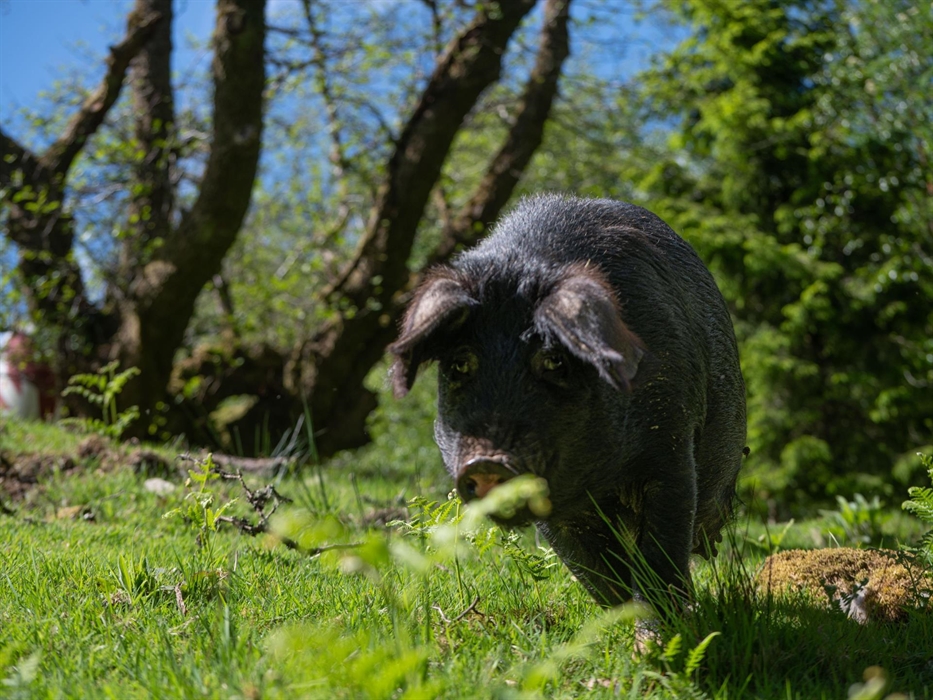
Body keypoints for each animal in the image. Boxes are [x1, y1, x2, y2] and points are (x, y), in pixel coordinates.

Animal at [389, 194, 746, 610]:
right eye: (460, 363)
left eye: (553, 360)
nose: (488, 461)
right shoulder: (559, 513)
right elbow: (598, 572)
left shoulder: (671, 446)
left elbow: (658, 555)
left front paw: (661, 625)